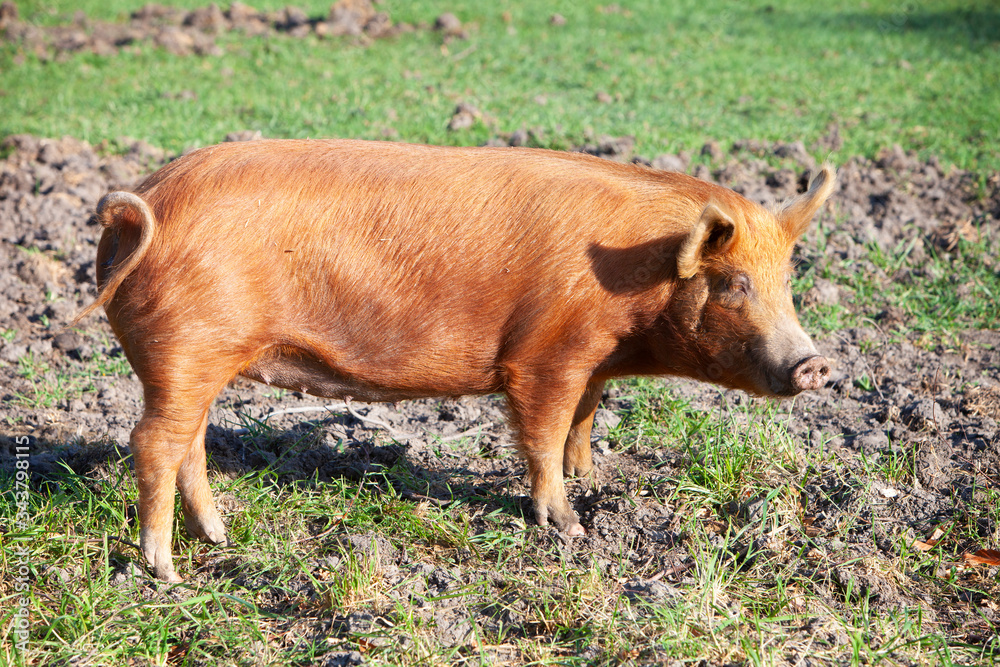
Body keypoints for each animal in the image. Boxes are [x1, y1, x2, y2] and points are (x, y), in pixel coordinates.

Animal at [76, 139, 834, 582]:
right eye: (735, 284)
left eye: (787, 283)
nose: (817, 365)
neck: (630, 288)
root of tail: (140, 209)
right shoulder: (545, 355)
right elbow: (542, 432)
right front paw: (569, 528)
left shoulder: (591, 361)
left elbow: (584, 420)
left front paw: (595, 479)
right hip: (187, 347)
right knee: (154, 441)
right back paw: (165, 570)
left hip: (199, 360)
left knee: (191, 442)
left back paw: (219, 535)